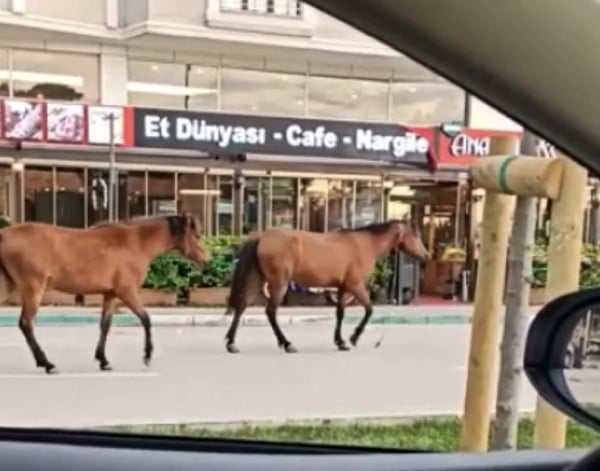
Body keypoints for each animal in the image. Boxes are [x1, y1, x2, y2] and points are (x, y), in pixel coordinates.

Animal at [224, 220, 426, 354]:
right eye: (415, 235)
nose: (424, 255)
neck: (366, 245)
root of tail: (262, 236)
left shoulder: (343, 288)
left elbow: (340, 314)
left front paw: (341, 342)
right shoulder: (356, 285)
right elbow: (369, 309)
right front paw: (353, 337)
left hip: (259, 279)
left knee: (241, 306)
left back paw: (231, 343)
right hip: (279, 283)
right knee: (270, 311)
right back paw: (287, 343)